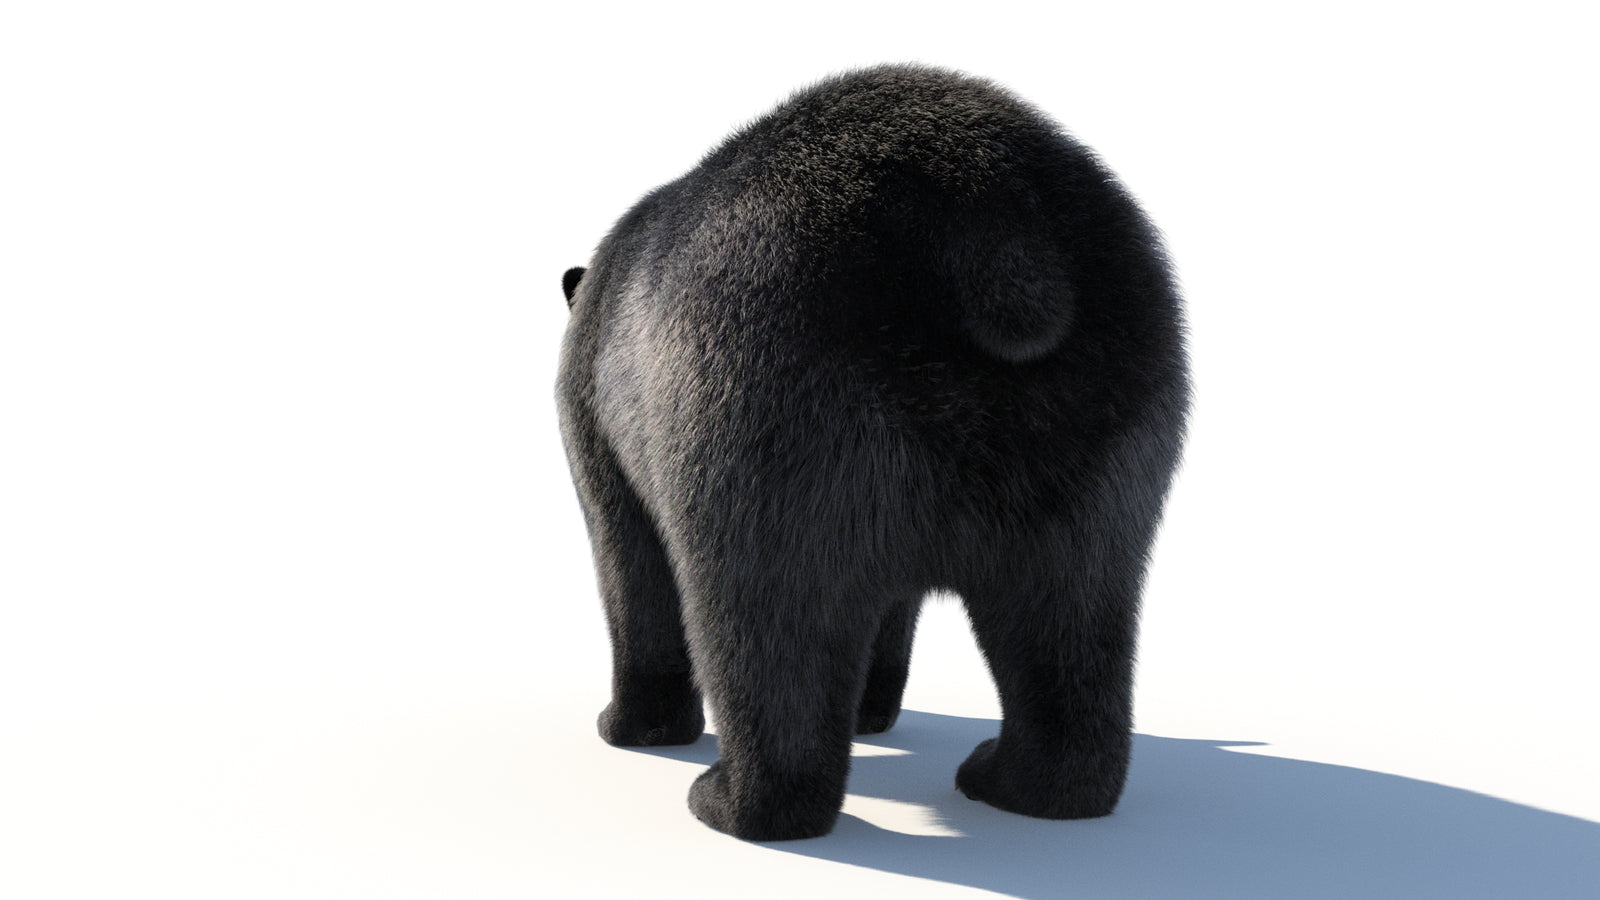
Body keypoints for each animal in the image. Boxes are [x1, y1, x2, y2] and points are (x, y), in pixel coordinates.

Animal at [556, 64, 1189, 841]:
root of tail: (994, 233)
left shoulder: (604, 413)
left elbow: (629, 556)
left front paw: (630, 724)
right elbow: (893, 604)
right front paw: (870, 710)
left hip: (767, 405)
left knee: (767, 611)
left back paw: (737, 800)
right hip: (1096, 409)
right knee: (1073, 607)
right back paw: (1021, 782)